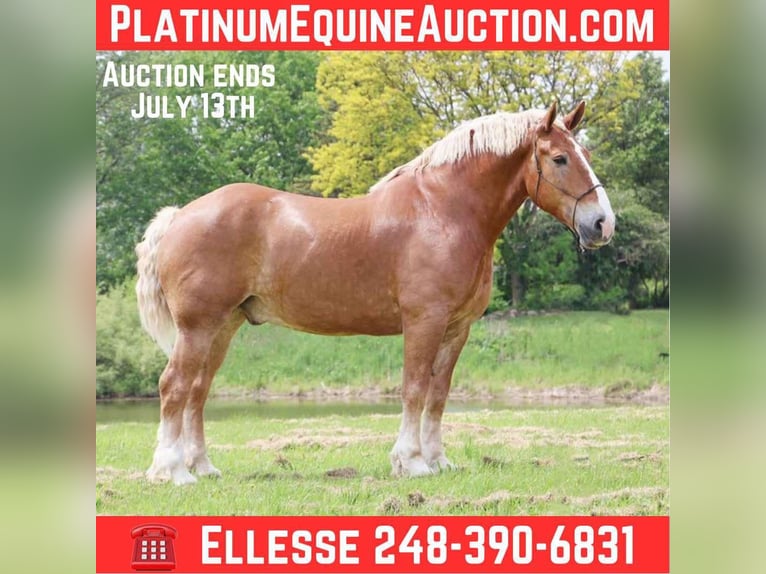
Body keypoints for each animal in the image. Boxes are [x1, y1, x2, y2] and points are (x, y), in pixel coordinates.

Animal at [135, 101, 615, 485]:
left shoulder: (456, 328)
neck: (444, 210)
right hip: (198, 327)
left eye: (586, 155)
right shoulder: (424, 320)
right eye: (559, 158)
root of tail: (180, 215)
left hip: (224, 326)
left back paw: (202, 467)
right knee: (174, 386)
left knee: (197, 390)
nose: (602, 223)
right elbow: (414, 388)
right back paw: (171, 471)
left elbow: (439, 394)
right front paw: (412, 462)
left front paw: (438, 461)